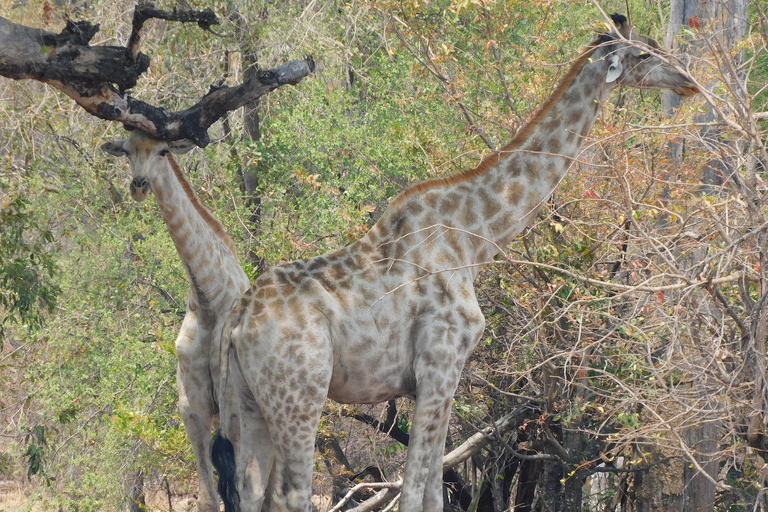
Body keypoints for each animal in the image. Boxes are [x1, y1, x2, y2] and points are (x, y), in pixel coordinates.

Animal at [101, 129, 249, 512]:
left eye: (163, 151)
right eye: (126, 151)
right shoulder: (192, 410)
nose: (139, 185)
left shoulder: (233, 408)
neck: (210, 298)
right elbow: (208, 499)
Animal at [213, 15, 700, 512]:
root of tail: (237, 322)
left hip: (247, 403)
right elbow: (414, 492)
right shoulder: (438, 363)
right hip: (301, 397)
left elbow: (432, 491)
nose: (690, 82)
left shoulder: (444, 375)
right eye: (643, 54)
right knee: (290, 493)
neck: (473, 240)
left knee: (248, 492)